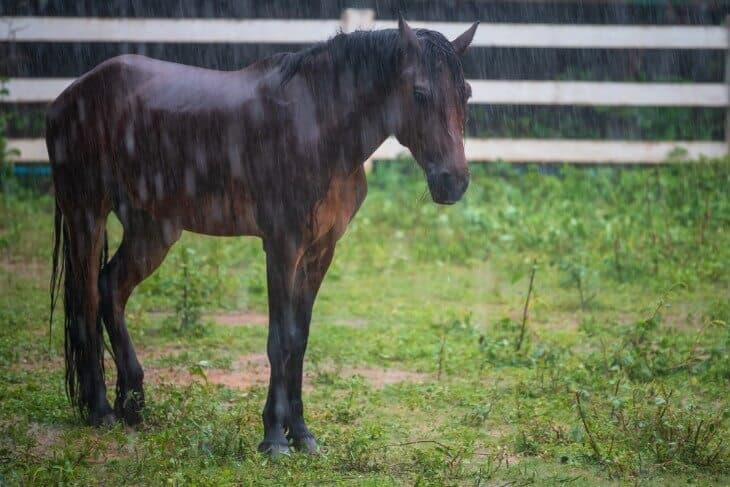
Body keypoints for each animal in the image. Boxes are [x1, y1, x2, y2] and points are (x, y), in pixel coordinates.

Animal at [47, 17, 478, 456]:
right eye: (420, 93)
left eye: (466, 93)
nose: (454, 183)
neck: (318, 126)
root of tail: (69, 95)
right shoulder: (282, 246)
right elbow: (279, 340)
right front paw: (273, 438)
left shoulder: (321, 252)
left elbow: (299, 341)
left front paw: (302, 434)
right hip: (86, 214)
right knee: (86, 301)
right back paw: (100, 411)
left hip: (153, 230)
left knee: (111, 288)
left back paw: (132, 405)